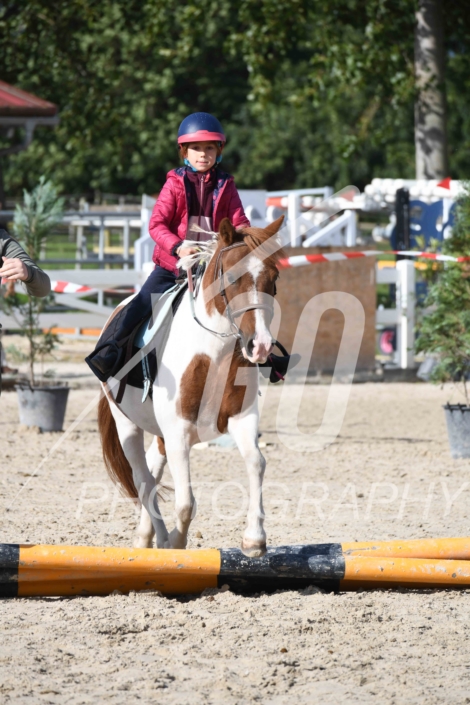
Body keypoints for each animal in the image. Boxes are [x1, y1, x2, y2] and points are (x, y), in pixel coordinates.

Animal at [97, 215, 285, 558]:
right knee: (144, 480)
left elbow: (256, 462)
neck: (212, 354)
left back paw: (144, 536)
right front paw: (175, 543)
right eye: (233, 277)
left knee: (153, 469)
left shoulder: (241, 419)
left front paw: (254, 539)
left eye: (273, 277)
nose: (261, 345)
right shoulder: (178, 432)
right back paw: (158, 538)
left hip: (160, 434)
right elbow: (185, 503)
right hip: (126, 424)